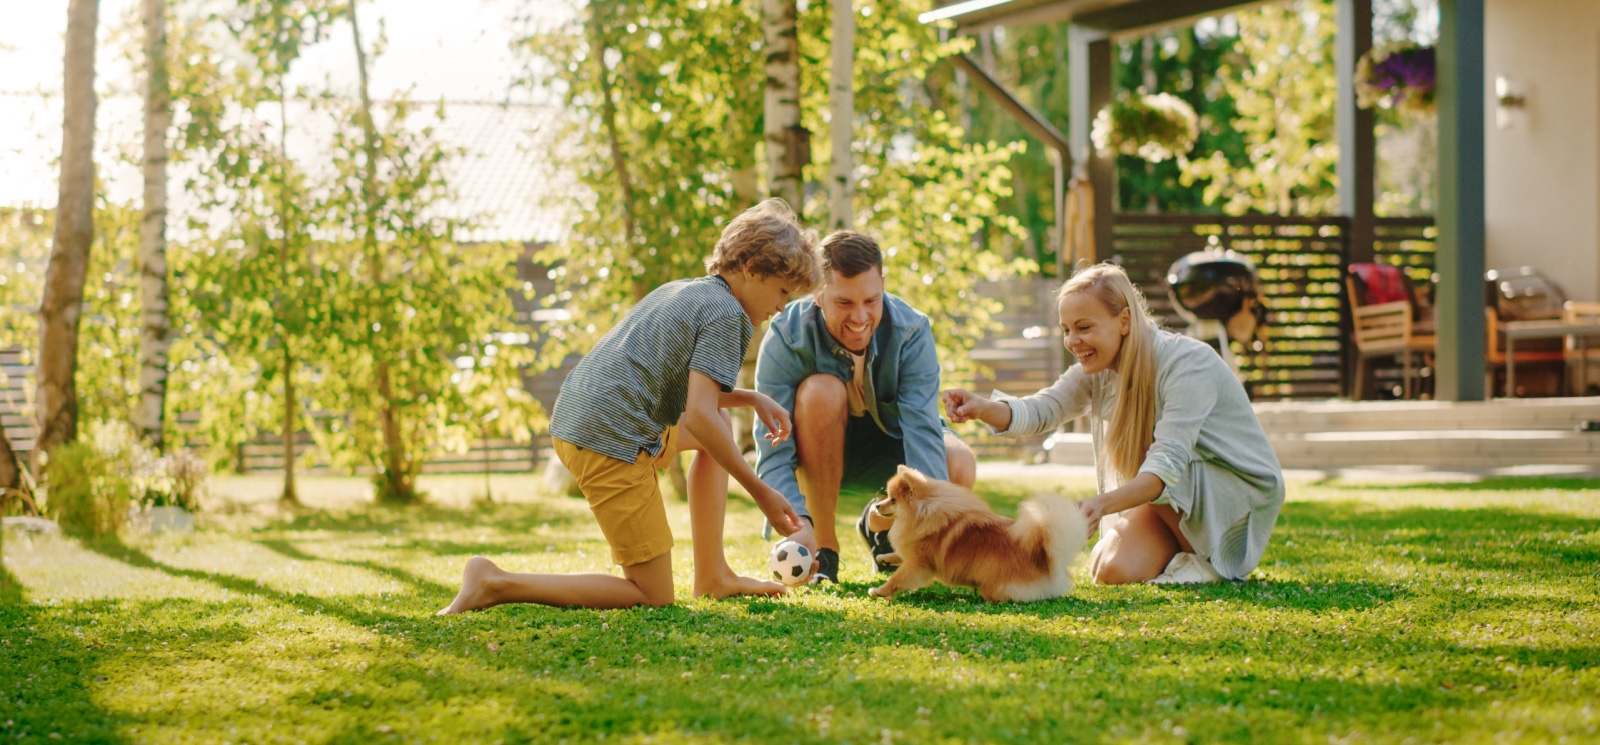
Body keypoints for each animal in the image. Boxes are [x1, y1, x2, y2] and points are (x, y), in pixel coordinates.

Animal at [870, 463, 1094, 601]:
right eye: (887, 497)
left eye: (892, 500)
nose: (877, 506)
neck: (924, 513)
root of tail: (1045, 559)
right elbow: (897, 555)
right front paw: (883, 558)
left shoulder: (919, 564)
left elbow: (898, 579)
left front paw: (878, 591)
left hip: (995, 585)